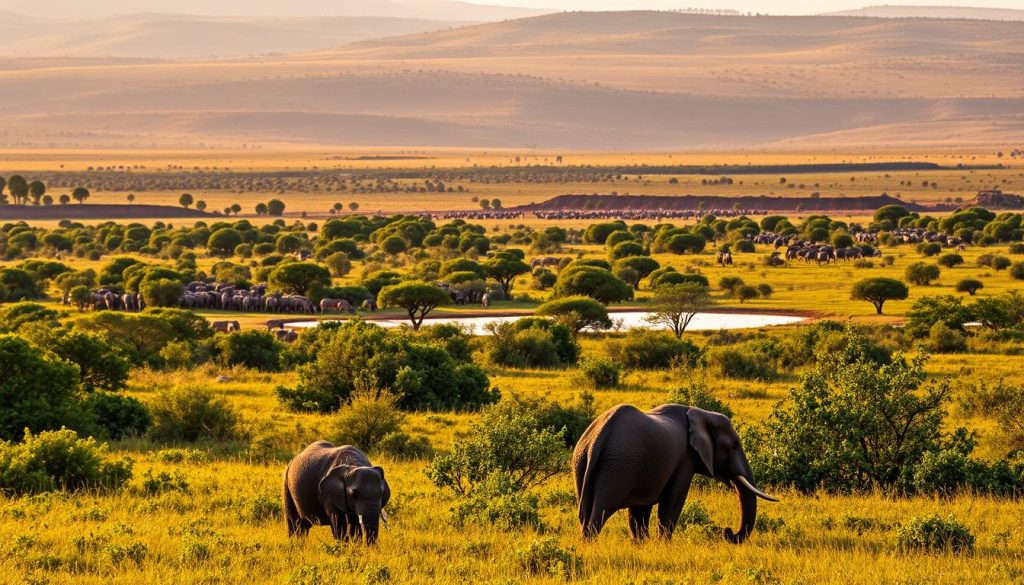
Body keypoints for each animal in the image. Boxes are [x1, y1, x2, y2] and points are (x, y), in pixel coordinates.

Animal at [573, 404, 776, 544]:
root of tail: (598, 438)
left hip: (583, 462)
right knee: (600, 511)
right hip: (618, 468)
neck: (702, 414)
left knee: (586, 513)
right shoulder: (685, 460)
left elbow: (639, 509)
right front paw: (663, 545)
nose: (727, 532)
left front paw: (643, 544)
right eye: (734, 445)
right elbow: (673, 501)